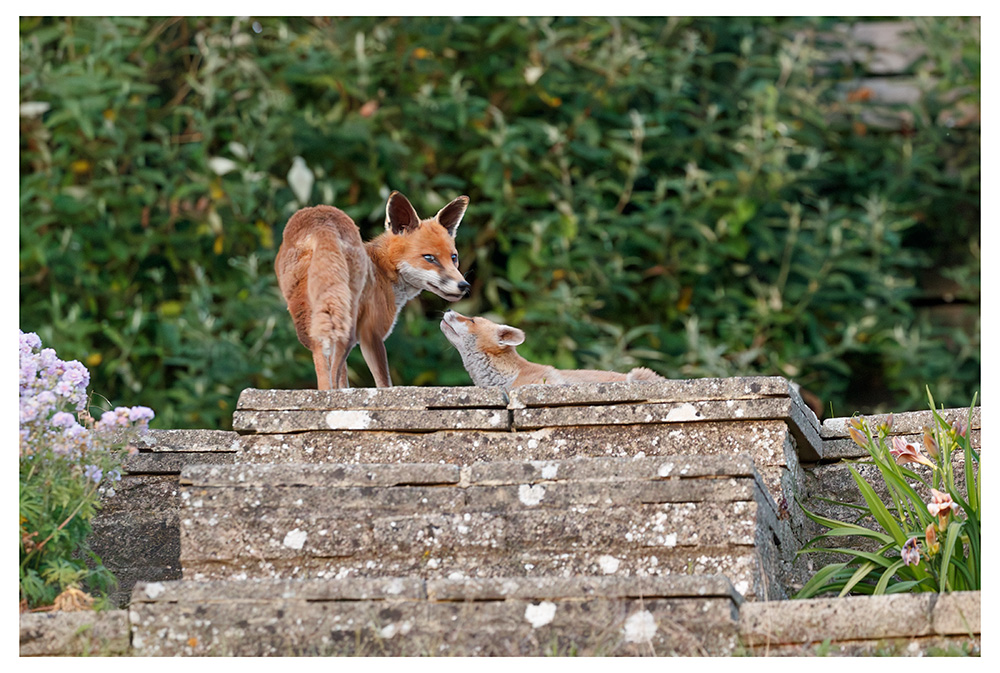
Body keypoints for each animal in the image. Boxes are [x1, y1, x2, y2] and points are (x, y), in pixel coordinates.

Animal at [275, 191, 471, 390]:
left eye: (453, 257)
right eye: (429, 258)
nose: (464, 285)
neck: (384, 270)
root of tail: (322, 222)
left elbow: (341, 376)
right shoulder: (372, 334)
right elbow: (384, 382)